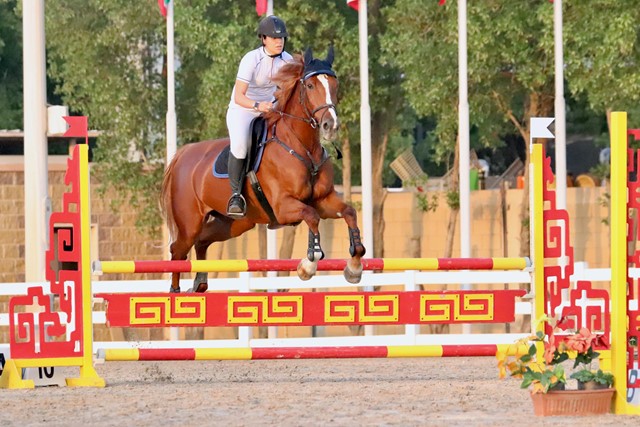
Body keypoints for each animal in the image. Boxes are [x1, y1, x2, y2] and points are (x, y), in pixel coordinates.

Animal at [160, 47, 366, 293]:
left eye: (335, 85)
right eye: (310, 86)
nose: (330, 125)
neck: (302, 146)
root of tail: (183, 155)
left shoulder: (324, 200)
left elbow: (349, 212)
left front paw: (354, 267)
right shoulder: (284, 206)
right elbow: (312, 216)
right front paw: (308, 265)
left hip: (234, 223)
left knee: (202, 241)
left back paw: (200, 283)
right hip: (190, 223)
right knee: (178, 250)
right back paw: (176, 292)